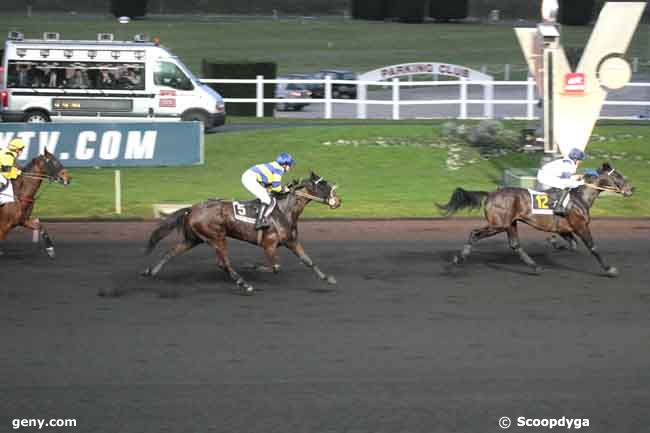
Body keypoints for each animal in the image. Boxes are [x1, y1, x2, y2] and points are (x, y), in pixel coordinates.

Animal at [142, 170, 342, 294]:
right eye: (324, 185)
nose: (338, 201)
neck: (284, 210)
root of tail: (191, 209)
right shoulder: (269, 244)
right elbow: (275, 267)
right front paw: (251, 266)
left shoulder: (291, 241)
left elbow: (308, 261)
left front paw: (328, 278)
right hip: (217, 237)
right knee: (223, 263)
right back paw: (244, 284)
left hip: (193, 239)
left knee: (171, 251)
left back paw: (151, 271)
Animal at [438, 162, 632, 276]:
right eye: (617, 175)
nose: (632, 189)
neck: (580, 197)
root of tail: (491, 194)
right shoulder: (581, 226)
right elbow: (593, 247)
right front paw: (610, 269)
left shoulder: (566, 228)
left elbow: (572, 244)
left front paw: (554, 243)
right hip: (498, 224)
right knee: (474, 234)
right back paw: (457, 260)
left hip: (510, 224)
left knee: (515, 245)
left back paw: (535, 266)